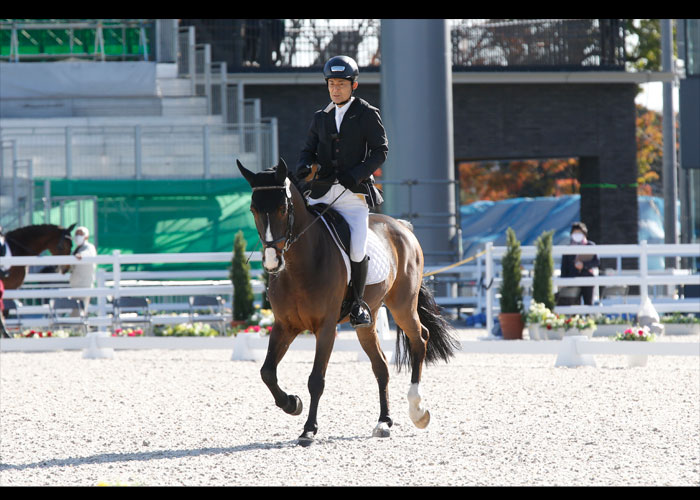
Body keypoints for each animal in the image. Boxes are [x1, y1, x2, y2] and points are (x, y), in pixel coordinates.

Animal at [238, 159, 462, 446]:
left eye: (282, 208)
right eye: (253, 209)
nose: (271, 262)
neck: (300, 264)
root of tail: (402, 227)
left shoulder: (325, 328)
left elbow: (316, 379)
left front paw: (308, 429)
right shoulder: (283, 326)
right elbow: (267, 372)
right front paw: (292, 403)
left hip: (402, 305)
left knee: (419, 339)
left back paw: (417, 411)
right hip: (368, 320)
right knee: (381, 365)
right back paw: (384, 422)